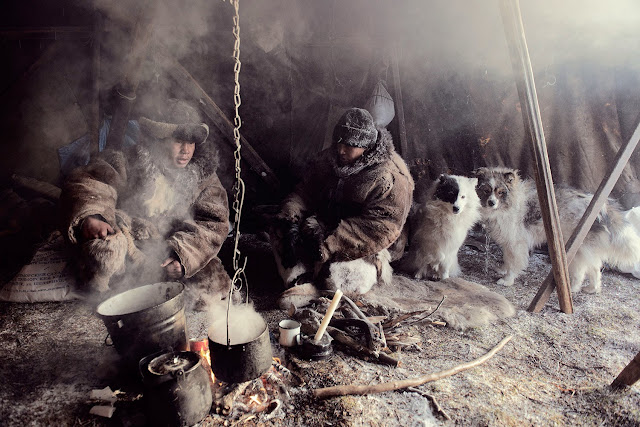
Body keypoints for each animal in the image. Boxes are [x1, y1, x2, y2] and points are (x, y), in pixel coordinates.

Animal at [472, 166, 640, 292]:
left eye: (501, 192)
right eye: (486, 191)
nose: (491, 203)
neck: (510, 203)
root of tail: (600, 207)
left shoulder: (516, 243)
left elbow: (515, 263)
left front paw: (507, 280)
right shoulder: (509, 242)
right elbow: (508, 259)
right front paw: (503, 270)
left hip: (576, 249)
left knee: (582, 271)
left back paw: (573, 288)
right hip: (584, 249)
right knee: (594, 268)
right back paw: (592, 289)